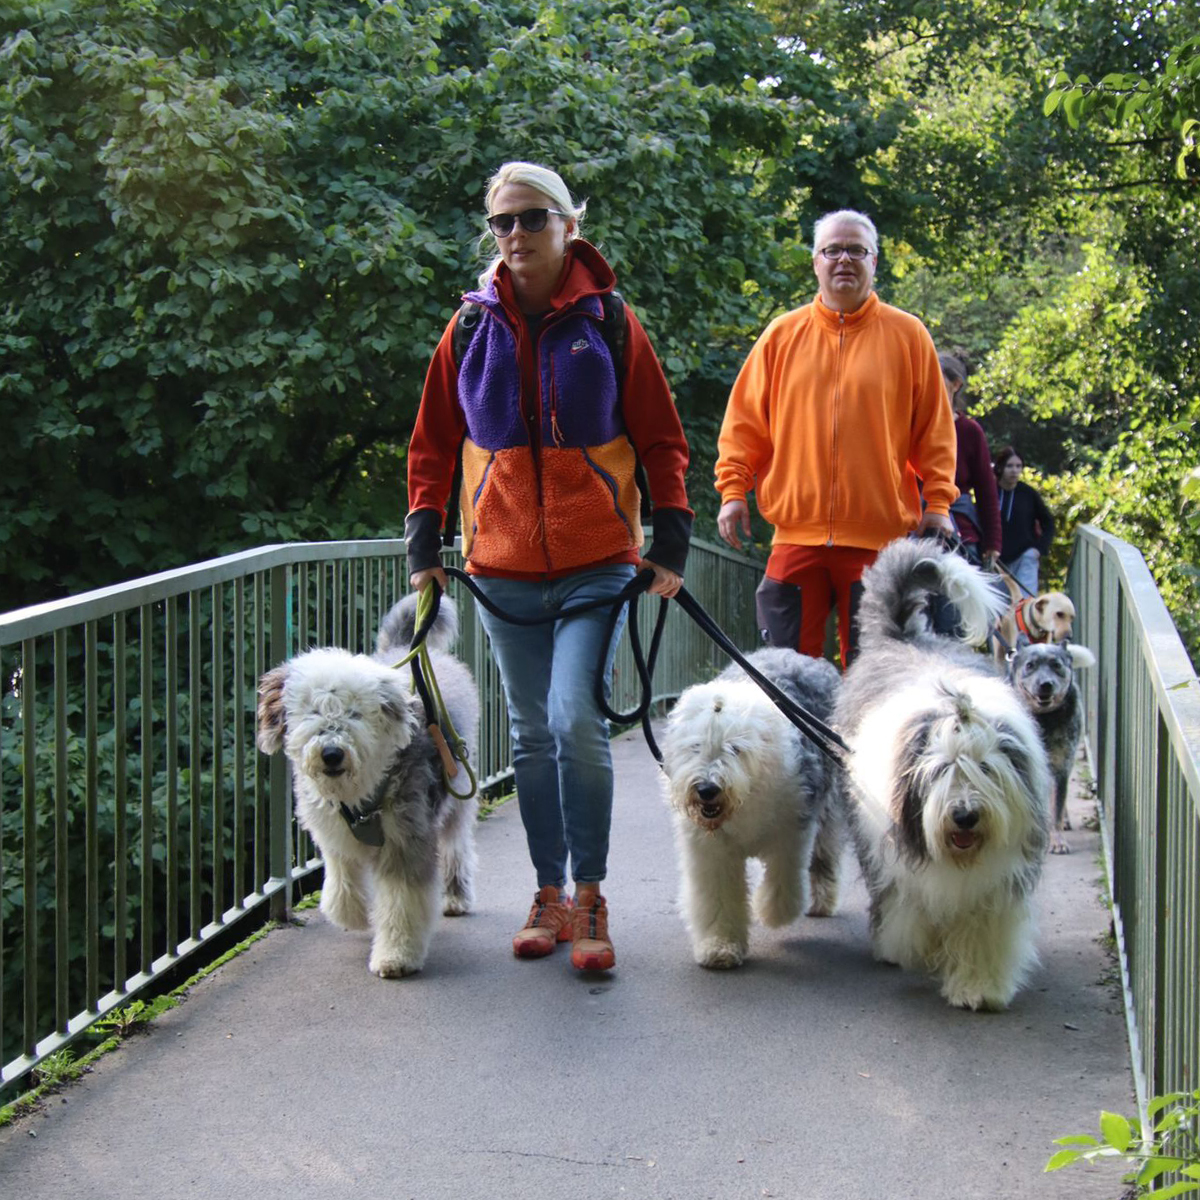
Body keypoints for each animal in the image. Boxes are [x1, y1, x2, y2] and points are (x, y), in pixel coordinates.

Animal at [258, 595, 477, 979]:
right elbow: (341, 882)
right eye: (313, 710)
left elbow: (402, 903)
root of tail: (407, 649)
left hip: (456, 794)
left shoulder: (407, 837)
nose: (332, 753)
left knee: (457, 847)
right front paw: (355, 917)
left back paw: (456, 896)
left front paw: (396, 957)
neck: (357, 794)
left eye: (355, 713)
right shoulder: (334, 834)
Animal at [657, 652, 844, 969]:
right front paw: (720, 947)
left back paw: (820, 901)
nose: (707, 789)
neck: (746, 797)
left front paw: (771, 911)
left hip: (828, 804)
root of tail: (805, 657)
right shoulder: (713, 850)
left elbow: (783, 878)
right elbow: (718, 896)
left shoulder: (792, 829)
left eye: (735, 749)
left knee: (824, 853)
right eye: (695, 746)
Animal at [835, 540, 1051, 1008]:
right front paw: (916, 949)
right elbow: (912, 910)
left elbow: (984, 930)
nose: (965, 815)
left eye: (985, 768)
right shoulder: (901, 858)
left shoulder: (997, 880)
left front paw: (978, 988)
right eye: (941, 770)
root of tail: (905, 637)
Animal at [1003, 638, 1099, 854]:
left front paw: (1058, 842)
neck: (1044, 720)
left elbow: (1056, 808)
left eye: (1056, 665)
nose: (1045, 684)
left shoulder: (1061, 767)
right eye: (1030, 665)